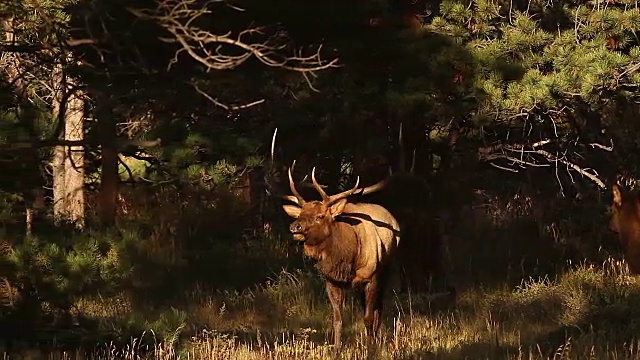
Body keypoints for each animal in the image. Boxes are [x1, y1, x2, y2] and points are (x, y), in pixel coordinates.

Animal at [282, 167, 400, 348]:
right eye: (300, 213)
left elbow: (368, 317)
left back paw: (376, 338)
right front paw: (337, 348)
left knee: (379, 307)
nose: (295, 226)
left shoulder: (371, 276)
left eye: (320, 216)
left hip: (387, 269)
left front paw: (370, 347)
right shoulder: (332, 281)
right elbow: (337, 320)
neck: (347, 260)